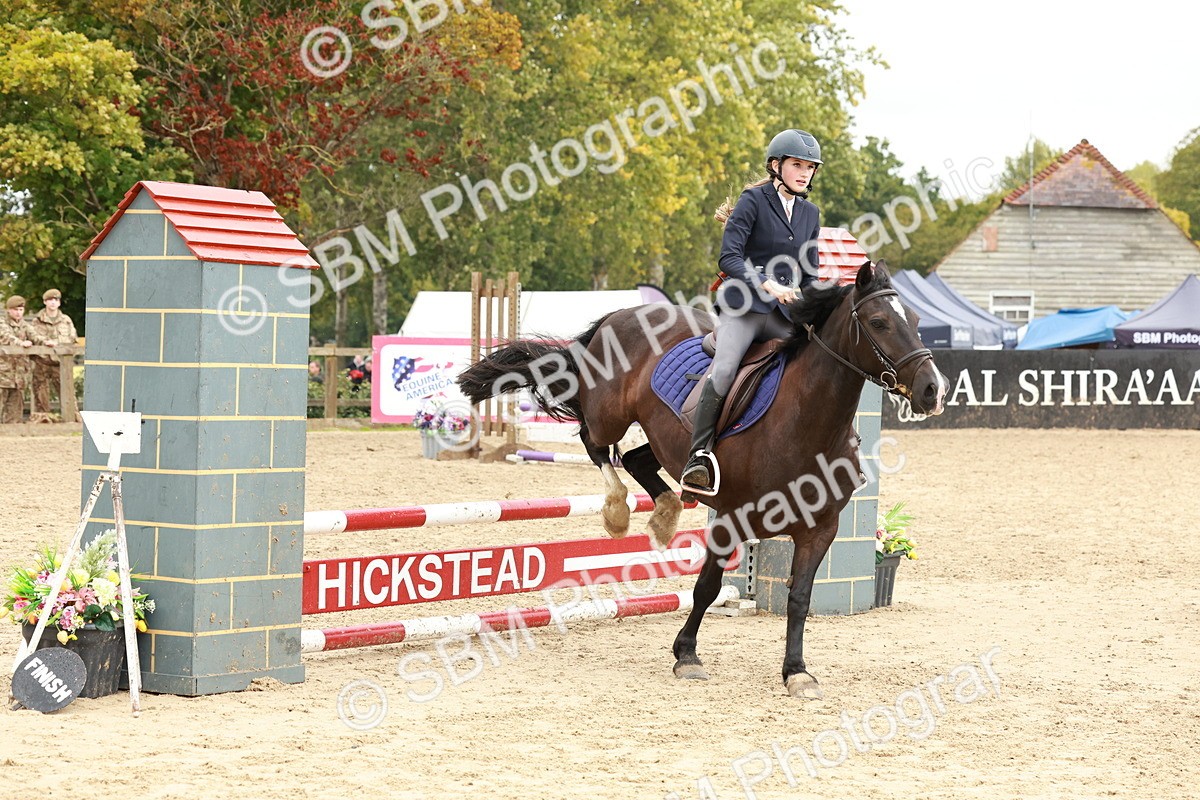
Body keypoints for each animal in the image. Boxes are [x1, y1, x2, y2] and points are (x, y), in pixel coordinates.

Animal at [457, 261, 947, 698]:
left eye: (916, 321)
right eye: (879, 322)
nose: (933, 390)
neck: (807, 420)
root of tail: (620, 314)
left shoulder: (820, 528)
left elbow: (800, 599)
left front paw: (797, 672)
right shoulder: (733, 517)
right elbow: (707, 587)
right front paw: (687, 655)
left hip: (662, 437)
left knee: (637, 460)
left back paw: (665, 514)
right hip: (609, 414)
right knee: (595, 443)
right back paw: (617, 512)